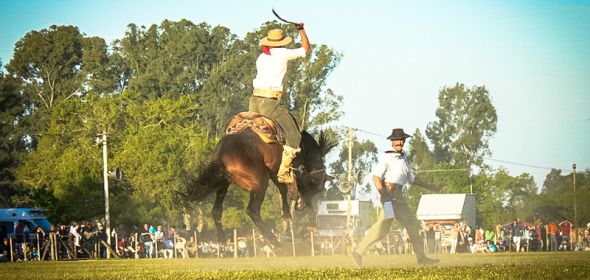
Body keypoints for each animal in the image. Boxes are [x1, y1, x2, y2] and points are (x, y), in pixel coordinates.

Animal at [183, 111, 336, 247]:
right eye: (317, 187)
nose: (303, 205)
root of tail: (221, 153)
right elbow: (286, 187)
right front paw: (309, 223)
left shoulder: (274, 172)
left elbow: (282, 189)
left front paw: (288, 217)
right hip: (259, 182)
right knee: (252, 210)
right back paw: (276, 243)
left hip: (225, 183)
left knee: (216, 211)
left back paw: (222, 240)